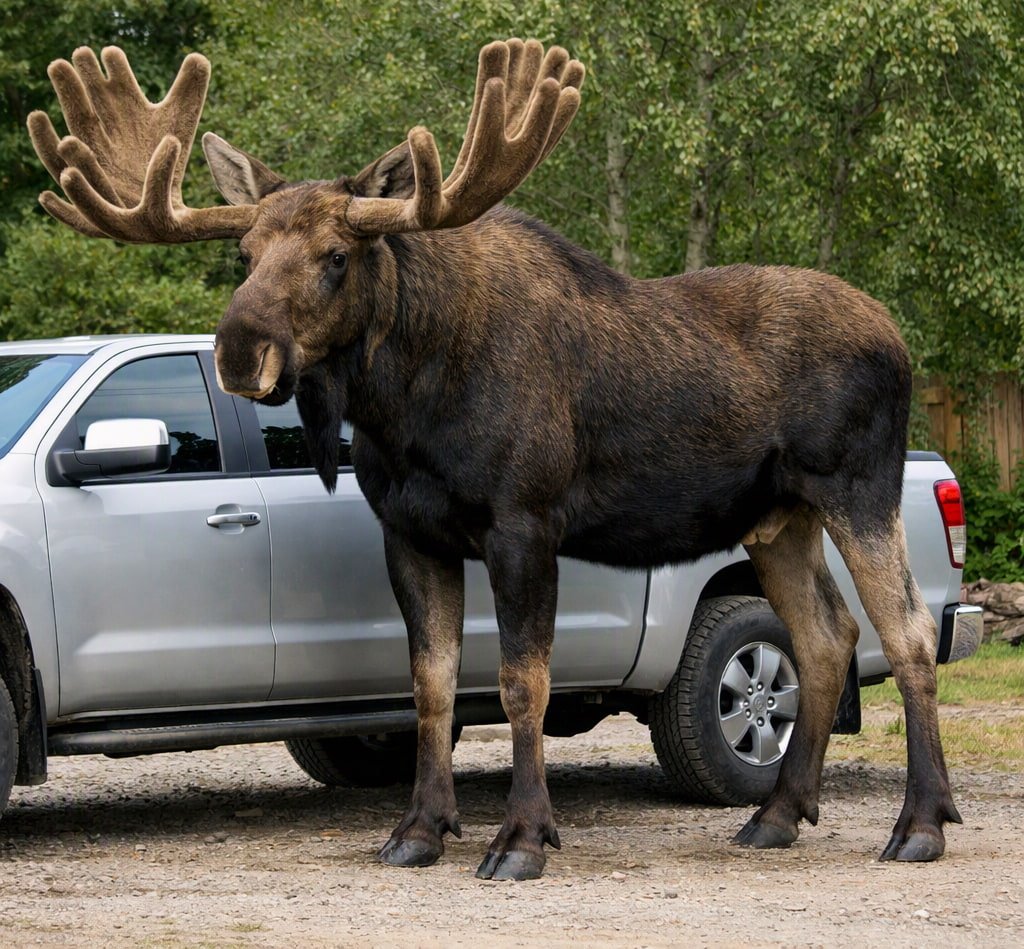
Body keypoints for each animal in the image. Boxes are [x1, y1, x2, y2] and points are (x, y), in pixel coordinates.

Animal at [27, 39, 961, 881]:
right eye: (245, 255)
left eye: (336, 257)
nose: (237, 351)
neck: (407, 402)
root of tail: (903, 343)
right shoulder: (412, 532)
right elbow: (432, 683)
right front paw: (419, 829)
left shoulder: (524, 524)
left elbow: (521, 683)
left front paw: (521, 837)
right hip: (777, 517)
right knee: (827, 637)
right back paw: (776, 815)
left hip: (857, 490)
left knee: (909, 631)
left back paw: (920, 824)